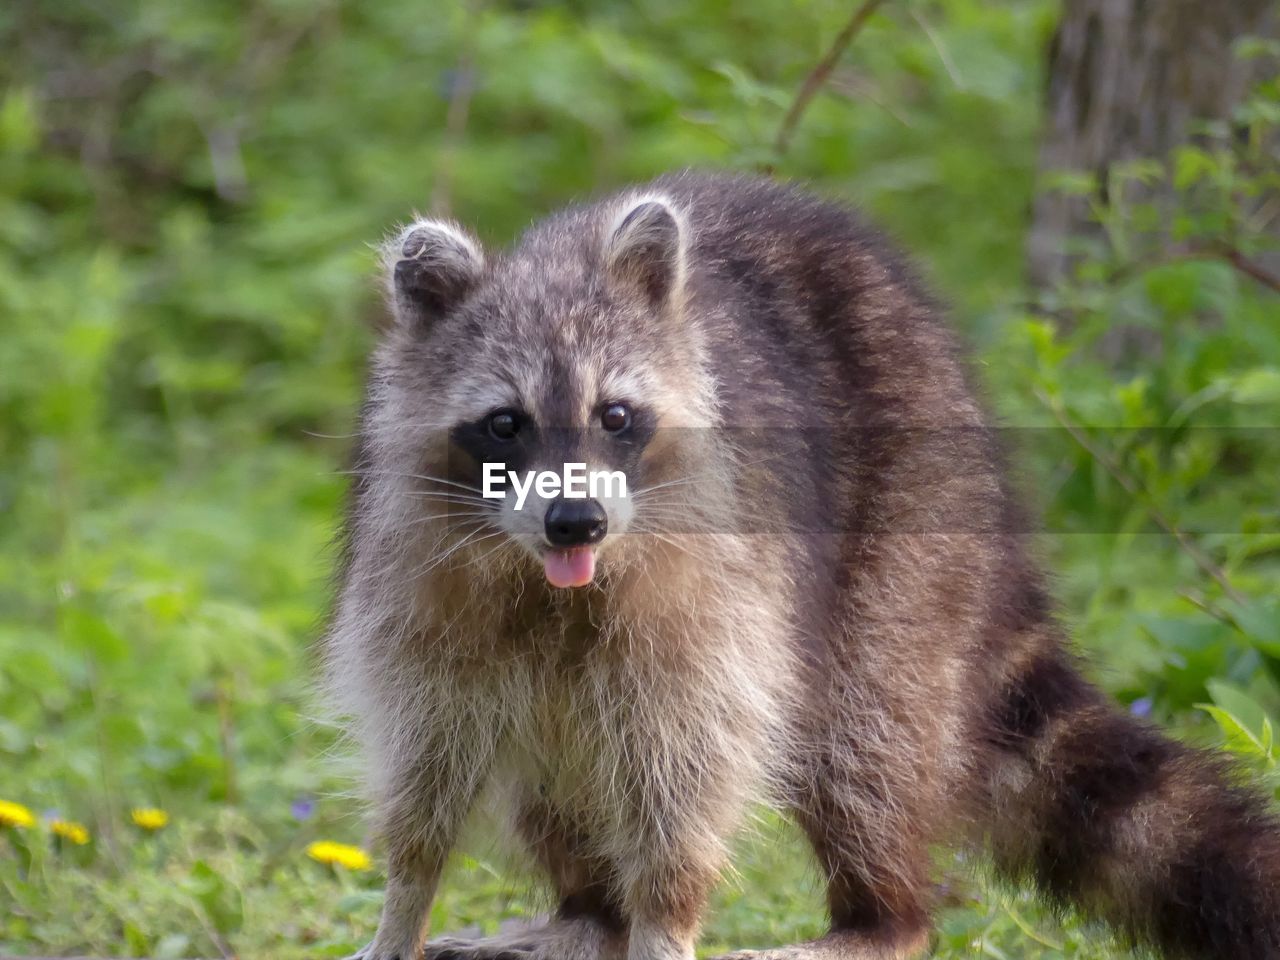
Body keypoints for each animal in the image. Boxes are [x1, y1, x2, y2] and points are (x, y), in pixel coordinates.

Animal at [327, 175, 1280, 960]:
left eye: (616, 415)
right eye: (505, 422)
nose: (576, 519)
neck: (554, 580)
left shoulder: (718, 582)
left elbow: (691, 763)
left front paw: (664, 919)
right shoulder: (415, 574)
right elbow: (427, 754)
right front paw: (406, 902)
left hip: (910, 521)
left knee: (864, 738)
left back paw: (878, 919)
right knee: (558, 766)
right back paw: (588, 914)